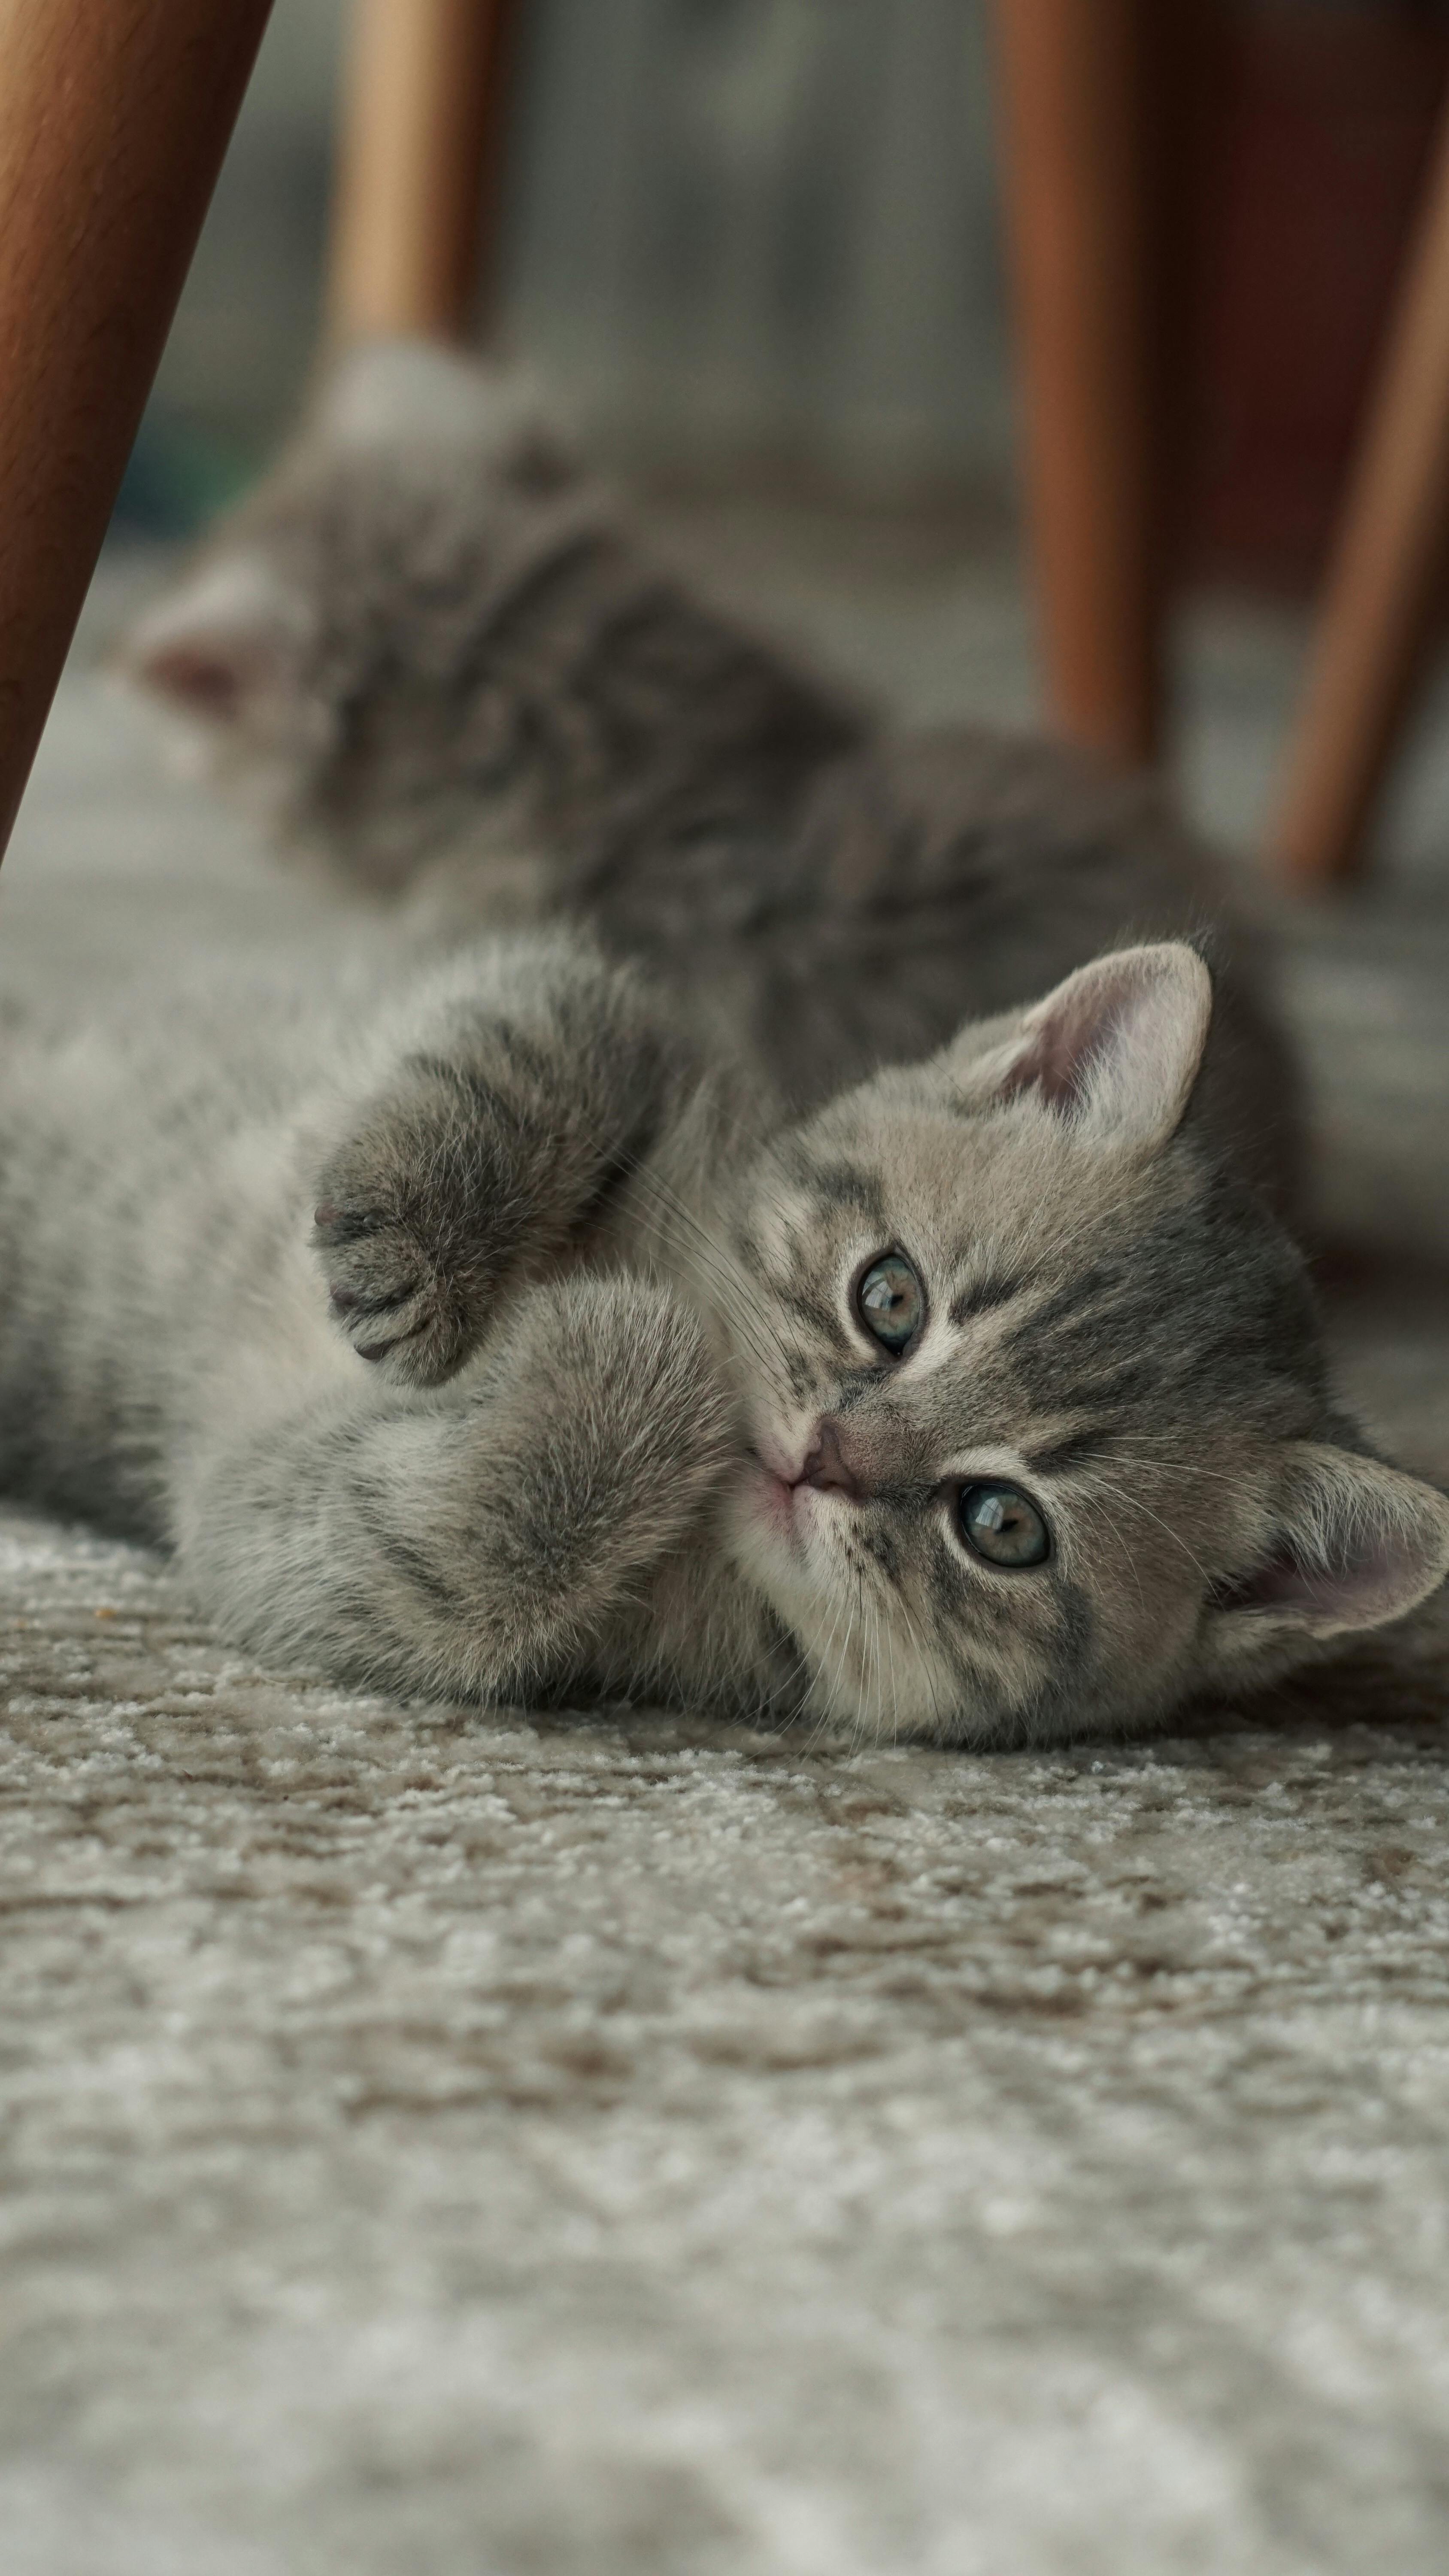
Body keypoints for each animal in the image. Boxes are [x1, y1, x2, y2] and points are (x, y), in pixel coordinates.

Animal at [0, 922, 1441, 1731]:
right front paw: (405, 1235)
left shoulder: (297, 1540)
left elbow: (461, 1543)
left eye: (1001, 1525)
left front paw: (623, 1346)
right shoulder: (592, 1007)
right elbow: (541, 1024)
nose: (827, 1456)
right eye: (890, 1298)